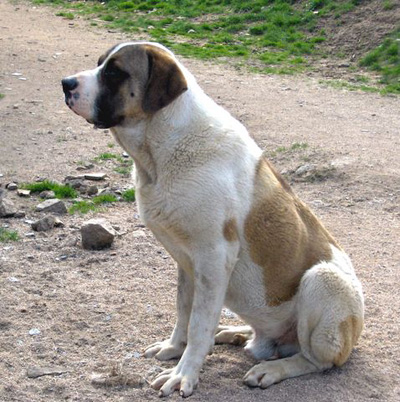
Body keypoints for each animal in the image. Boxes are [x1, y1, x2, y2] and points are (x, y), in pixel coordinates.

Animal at [61, 42, 362, 398]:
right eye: (99, 64)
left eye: (113, 72)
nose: (66, 83)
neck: (162, 150)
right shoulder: (187, 262)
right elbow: (184, 311)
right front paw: (174, 348)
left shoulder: (214, 256)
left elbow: (200, 324)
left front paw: (183, 374)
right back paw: (236, 332)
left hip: (323, 280)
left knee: (317, 360)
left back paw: (271, 369)